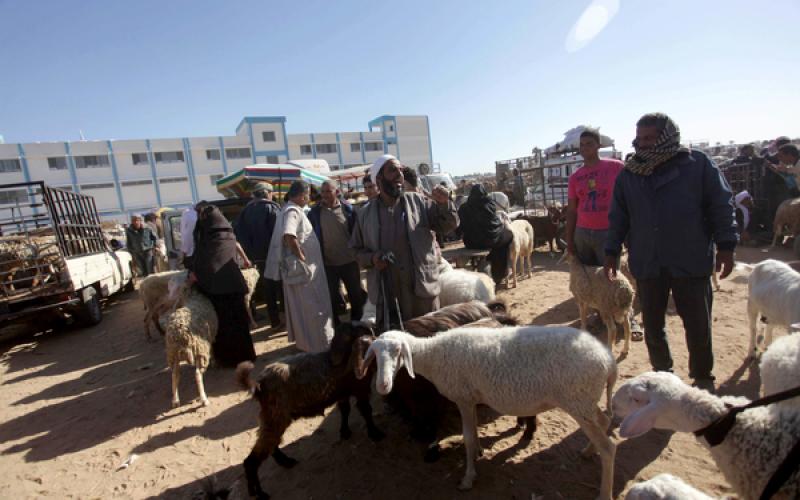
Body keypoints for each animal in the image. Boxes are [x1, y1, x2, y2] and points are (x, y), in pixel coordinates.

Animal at [234, 322, 384, 498]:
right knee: (252, 460)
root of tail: (259, 385)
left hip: (271, 417)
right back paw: (259, 493)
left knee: (270, 445)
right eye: (362, 333)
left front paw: (345, 432)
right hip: (276, 416)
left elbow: (345, 410)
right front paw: (375, 433)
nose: (375, 337)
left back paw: (285, 462)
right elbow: (366, 411)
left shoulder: (342, 393)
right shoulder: (360, 389)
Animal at [360, 324, 616, 496]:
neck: (433, 355)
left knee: (609, 447)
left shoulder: (462, 398)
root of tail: (607, 358)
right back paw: (588, 450)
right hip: (585, 402)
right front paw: (479, 454)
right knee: (605, 421)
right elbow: (473, 431)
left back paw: (604, 491)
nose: (383, 386)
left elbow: (468, 437)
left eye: (397, 352)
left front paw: (468, 478)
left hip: (578, 401)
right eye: (374, 356)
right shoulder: (471, 398)